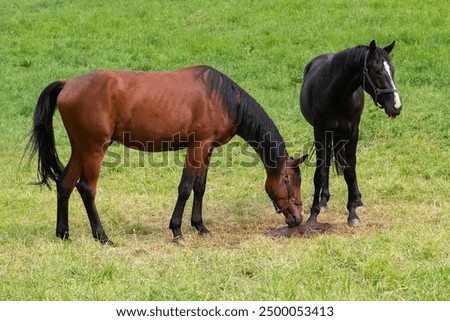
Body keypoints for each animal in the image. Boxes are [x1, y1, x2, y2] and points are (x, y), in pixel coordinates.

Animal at [28, 66, 308, 244]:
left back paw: (64, 234)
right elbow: (185, 188)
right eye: (288, 179)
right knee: (86, 188)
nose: (297, 218)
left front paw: (200, 226)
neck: (222, 97)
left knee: (65, 184)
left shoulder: (207, 149)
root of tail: (67, 84)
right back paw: (103, 237)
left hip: (81, 149)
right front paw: (177, 231)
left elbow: (200, 188)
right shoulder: (197, 146)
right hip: (94, 149)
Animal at [300, 40, 402, 225]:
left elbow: (350, 170)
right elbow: (320, 172)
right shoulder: (320, 131)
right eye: (377, 71)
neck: (335, 94)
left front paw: (352, 212)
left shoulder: (352, 132)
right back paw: (324, 200)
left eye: (392, 70)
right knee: (327, 162)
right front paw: (313, 213)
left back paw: (357, 198)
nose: (396, 106)